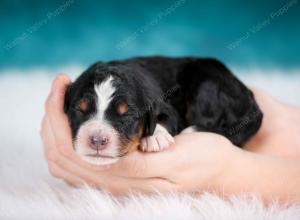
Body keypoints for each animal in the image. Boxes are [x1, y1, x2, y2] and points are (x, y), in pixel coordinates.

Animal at [63, 56, 262, 165]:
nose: (97, 140)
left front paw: (155, 138)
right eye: (80, 110)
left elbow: (165, 118)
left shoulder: (168, 107)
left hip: (207, 84)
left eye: (127, 115)